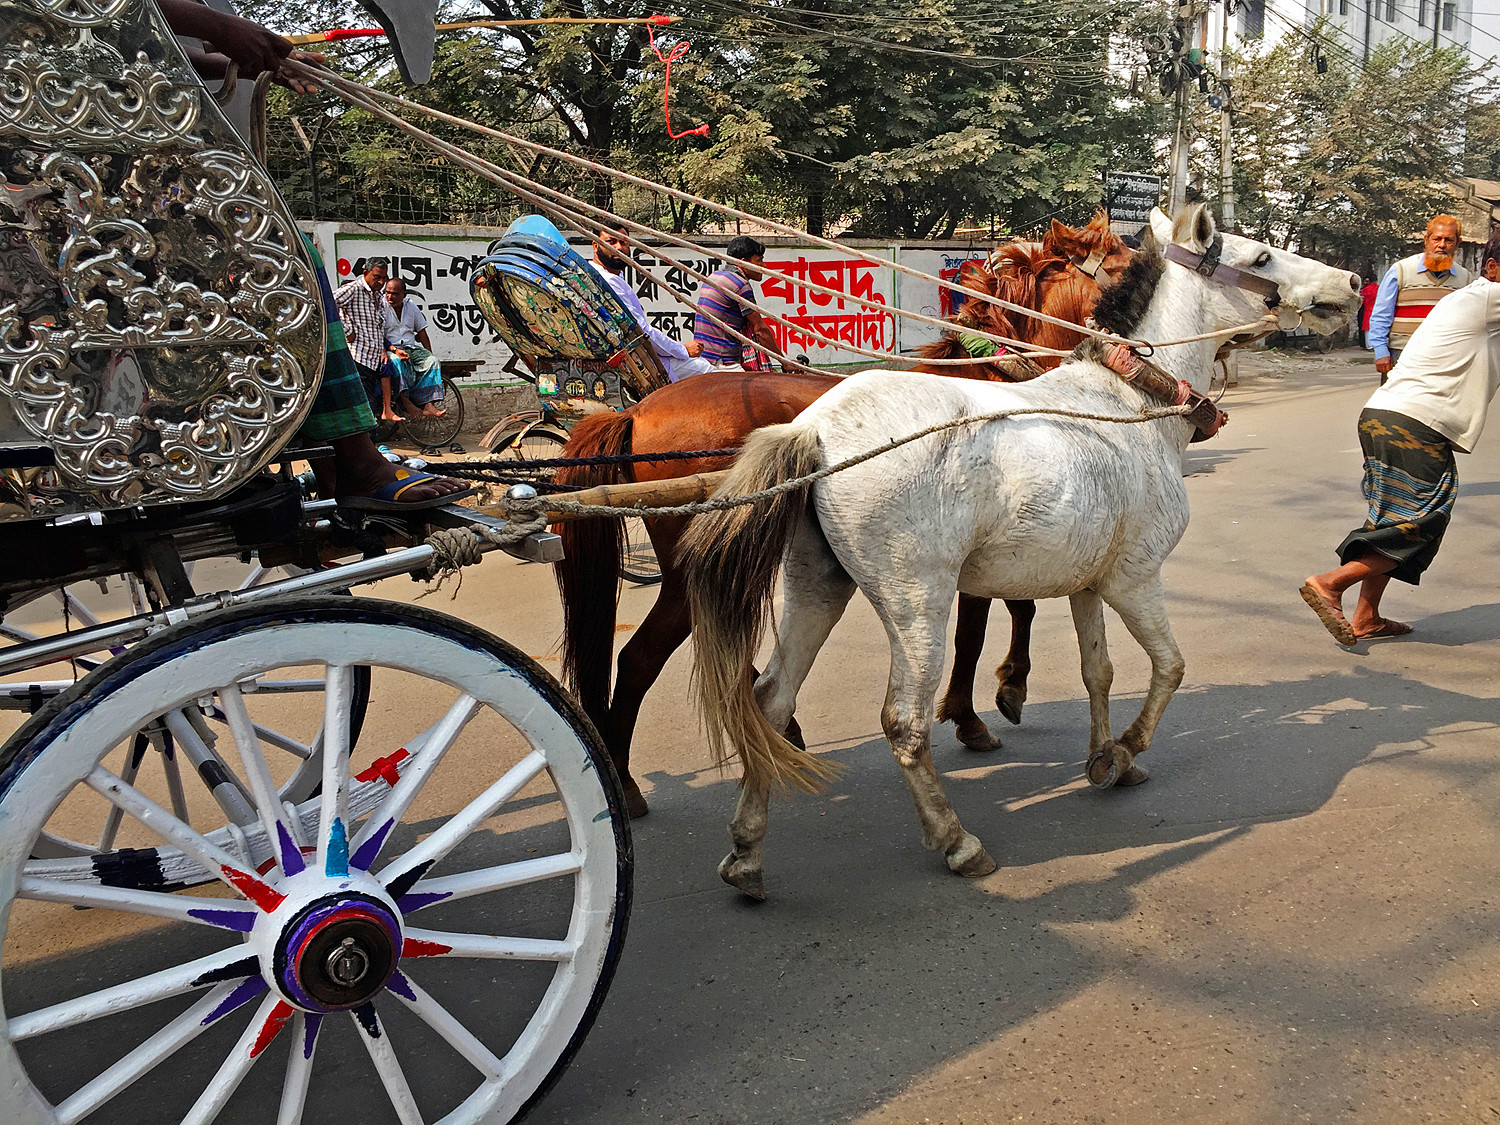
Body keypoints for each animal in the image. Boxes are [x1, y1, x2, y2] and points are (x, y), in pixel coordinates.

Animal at [558, 211, 1128, 816]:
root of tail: (637, 411)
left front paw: (996, 692)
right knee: (639, 659)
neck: (997, 381)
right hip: (692, 572)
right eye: (1125, 264)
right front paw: (983, 707)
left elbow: (1015, 610)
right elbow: (981, 629)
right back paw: (625, 781)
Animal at [681, 207, 1362, 906]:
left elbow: (1099, 672)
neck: (1132, 404)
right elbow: (1170, 667)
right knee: (903, 722)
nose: (1351, 282)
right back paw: (957, 842)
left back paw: (747, 854)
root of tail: (814, 428)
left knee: (770, 702)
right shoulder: (1135, 577)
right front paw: (1124, 750)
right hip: (917, 601)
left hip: (817, 585)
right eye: (1260, 258)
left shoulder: (1088, 583)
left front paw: (1102, 757)